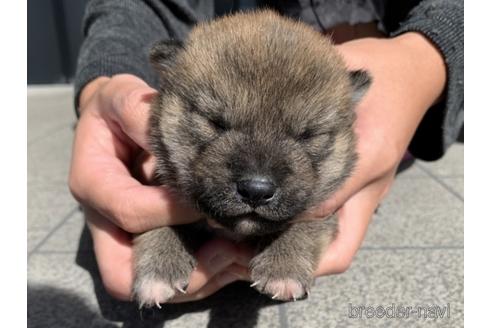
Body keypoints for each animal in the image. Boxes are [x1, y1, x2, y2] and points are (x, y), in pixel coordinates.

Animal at [133, 10, 370, 308]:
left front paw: (283, 265)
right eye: (214, 123)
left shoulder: (326, 206)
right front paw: (159, 266)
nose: (256, 191)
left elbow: (306, 222)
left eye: (307, 135)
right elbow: (158, 223)